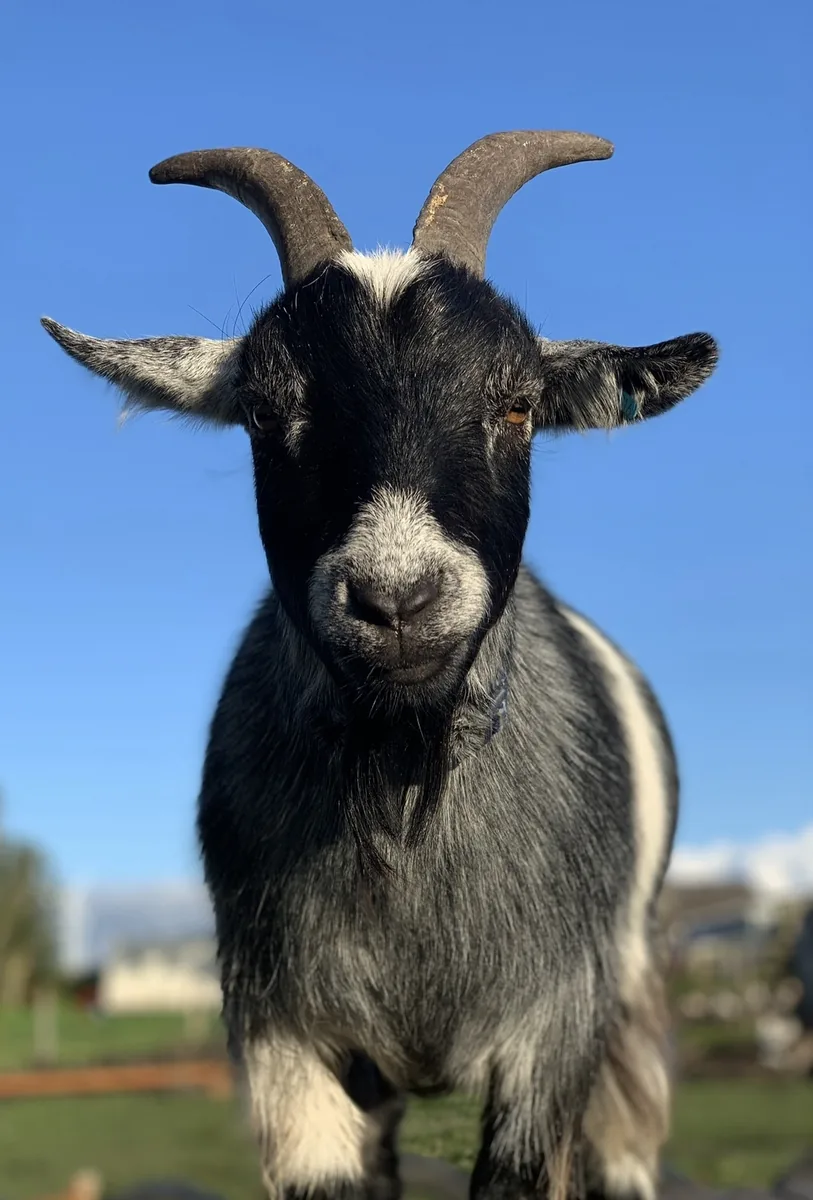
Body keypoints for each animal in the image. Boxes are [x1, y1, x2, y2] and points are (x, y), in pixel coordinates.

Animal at [43, 131, 719, 1200]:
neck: (403, 780)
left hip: (634, 990)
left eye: (518, 404)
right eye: (262, 411)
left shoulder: (555, 1025)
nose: (396, 599)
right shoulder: (284, 1034)